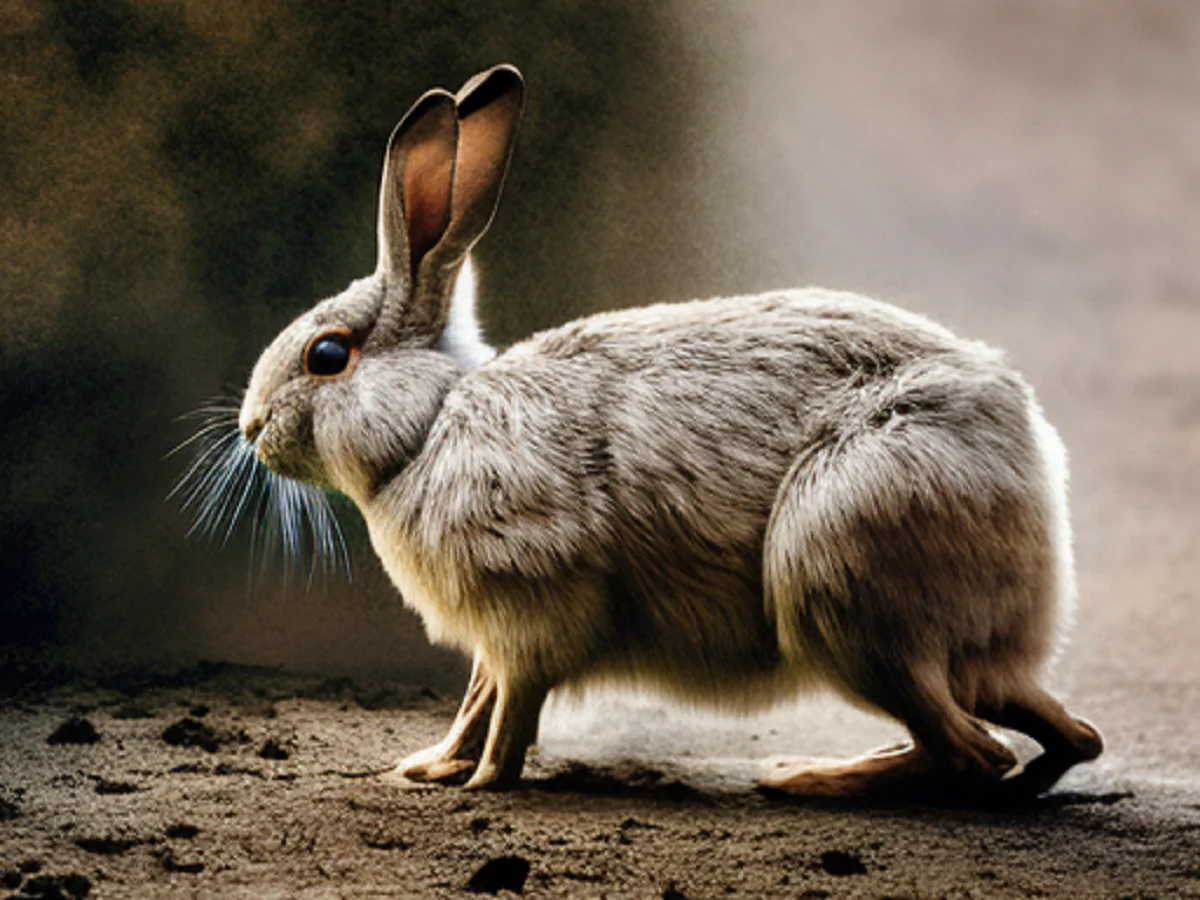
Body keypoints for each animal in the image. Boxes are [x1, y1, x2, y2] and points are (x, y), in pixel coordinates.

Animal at [236, 64, 1102, 796]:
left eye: (326, 356)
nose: (251, 429)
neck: (429, 424)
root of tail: (1031, 474)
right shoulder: (494, 638)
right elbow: (478, 698)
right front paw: (431, 766)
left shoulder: (533, 613)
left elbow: (513, 705)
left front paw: (482, 782)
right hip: (927, 642)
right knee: (1060, 734)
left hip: (844, 587)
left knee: (972, 751)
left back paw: (807, 778)